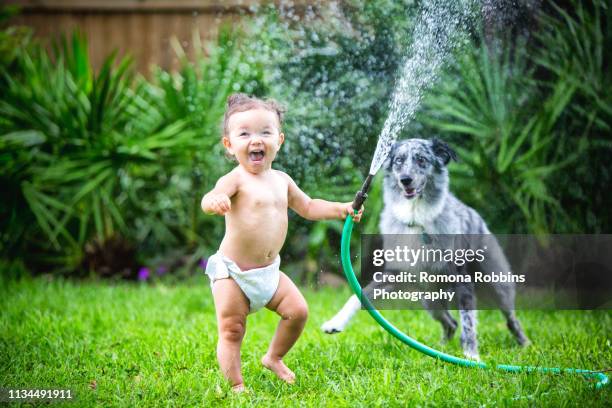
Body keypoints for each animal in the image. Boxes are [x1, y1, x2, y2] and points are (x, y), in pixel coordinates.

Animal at [320, 138, 532, 360]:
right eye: (398, 160)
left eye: (421, 159)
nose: (405, 179)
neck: (416, 218)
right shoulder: (393, 274)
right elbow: (357, 296)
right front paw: (334, 323)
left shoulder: (462, 280)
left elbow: (468, 321)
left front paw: (471, 355)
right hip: (430, 300)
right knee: (450, 323)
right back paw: (442, 349)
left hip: (498, 284)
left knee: (510, 318)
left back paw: (524, 343)